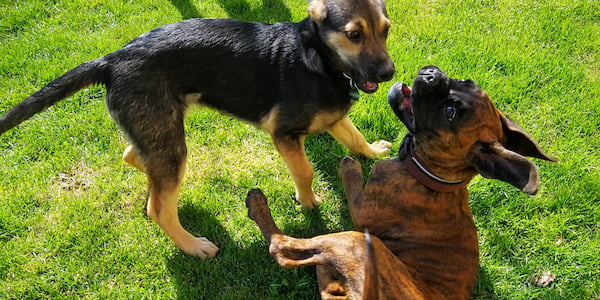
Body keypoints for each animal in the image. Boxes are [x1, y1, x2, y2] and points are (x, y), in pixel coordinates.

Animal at [0, 0, 396, 258]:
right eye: (354, 34)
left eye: (386, 30)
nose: (389, 74)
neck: (319, 60)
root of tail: (111, 60)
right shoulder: (283, 133)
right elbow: (305, 169)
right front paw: (309, 202)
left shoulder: (336, 117)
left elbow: (355, 137)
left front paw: (374, 152)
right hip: (167, 135)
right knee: (157, 207)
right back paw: (192, 245)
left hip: (159, 129)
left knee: (135, 157)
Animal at [246, 66, 556, 300]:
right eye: (467, 82)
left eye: (450, 113)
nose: (431, 74)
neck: (430, 176)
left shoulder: (362, 214)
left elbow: (354, 186)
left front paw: (350, 166)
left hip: (355, 240)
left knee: (281, 247)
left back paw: (258, 205)